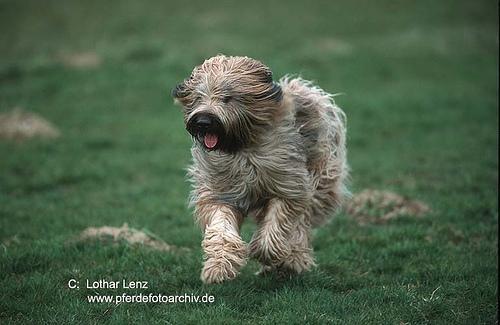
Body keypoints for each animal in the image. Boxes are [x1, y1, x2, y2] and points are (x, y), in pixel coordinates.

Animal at [172, 54, 348, 282]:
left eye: (228, 98)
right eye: (199, 97)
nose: (203, 122)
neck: (242, 147)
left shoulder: (289, 186)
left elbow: (278, 221)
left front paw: (265, 252)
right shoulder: (220, 193)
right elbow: (221, 227)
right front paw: (218, 267)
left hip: (321, 181)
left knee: (302, 224)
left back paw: (293, 260)